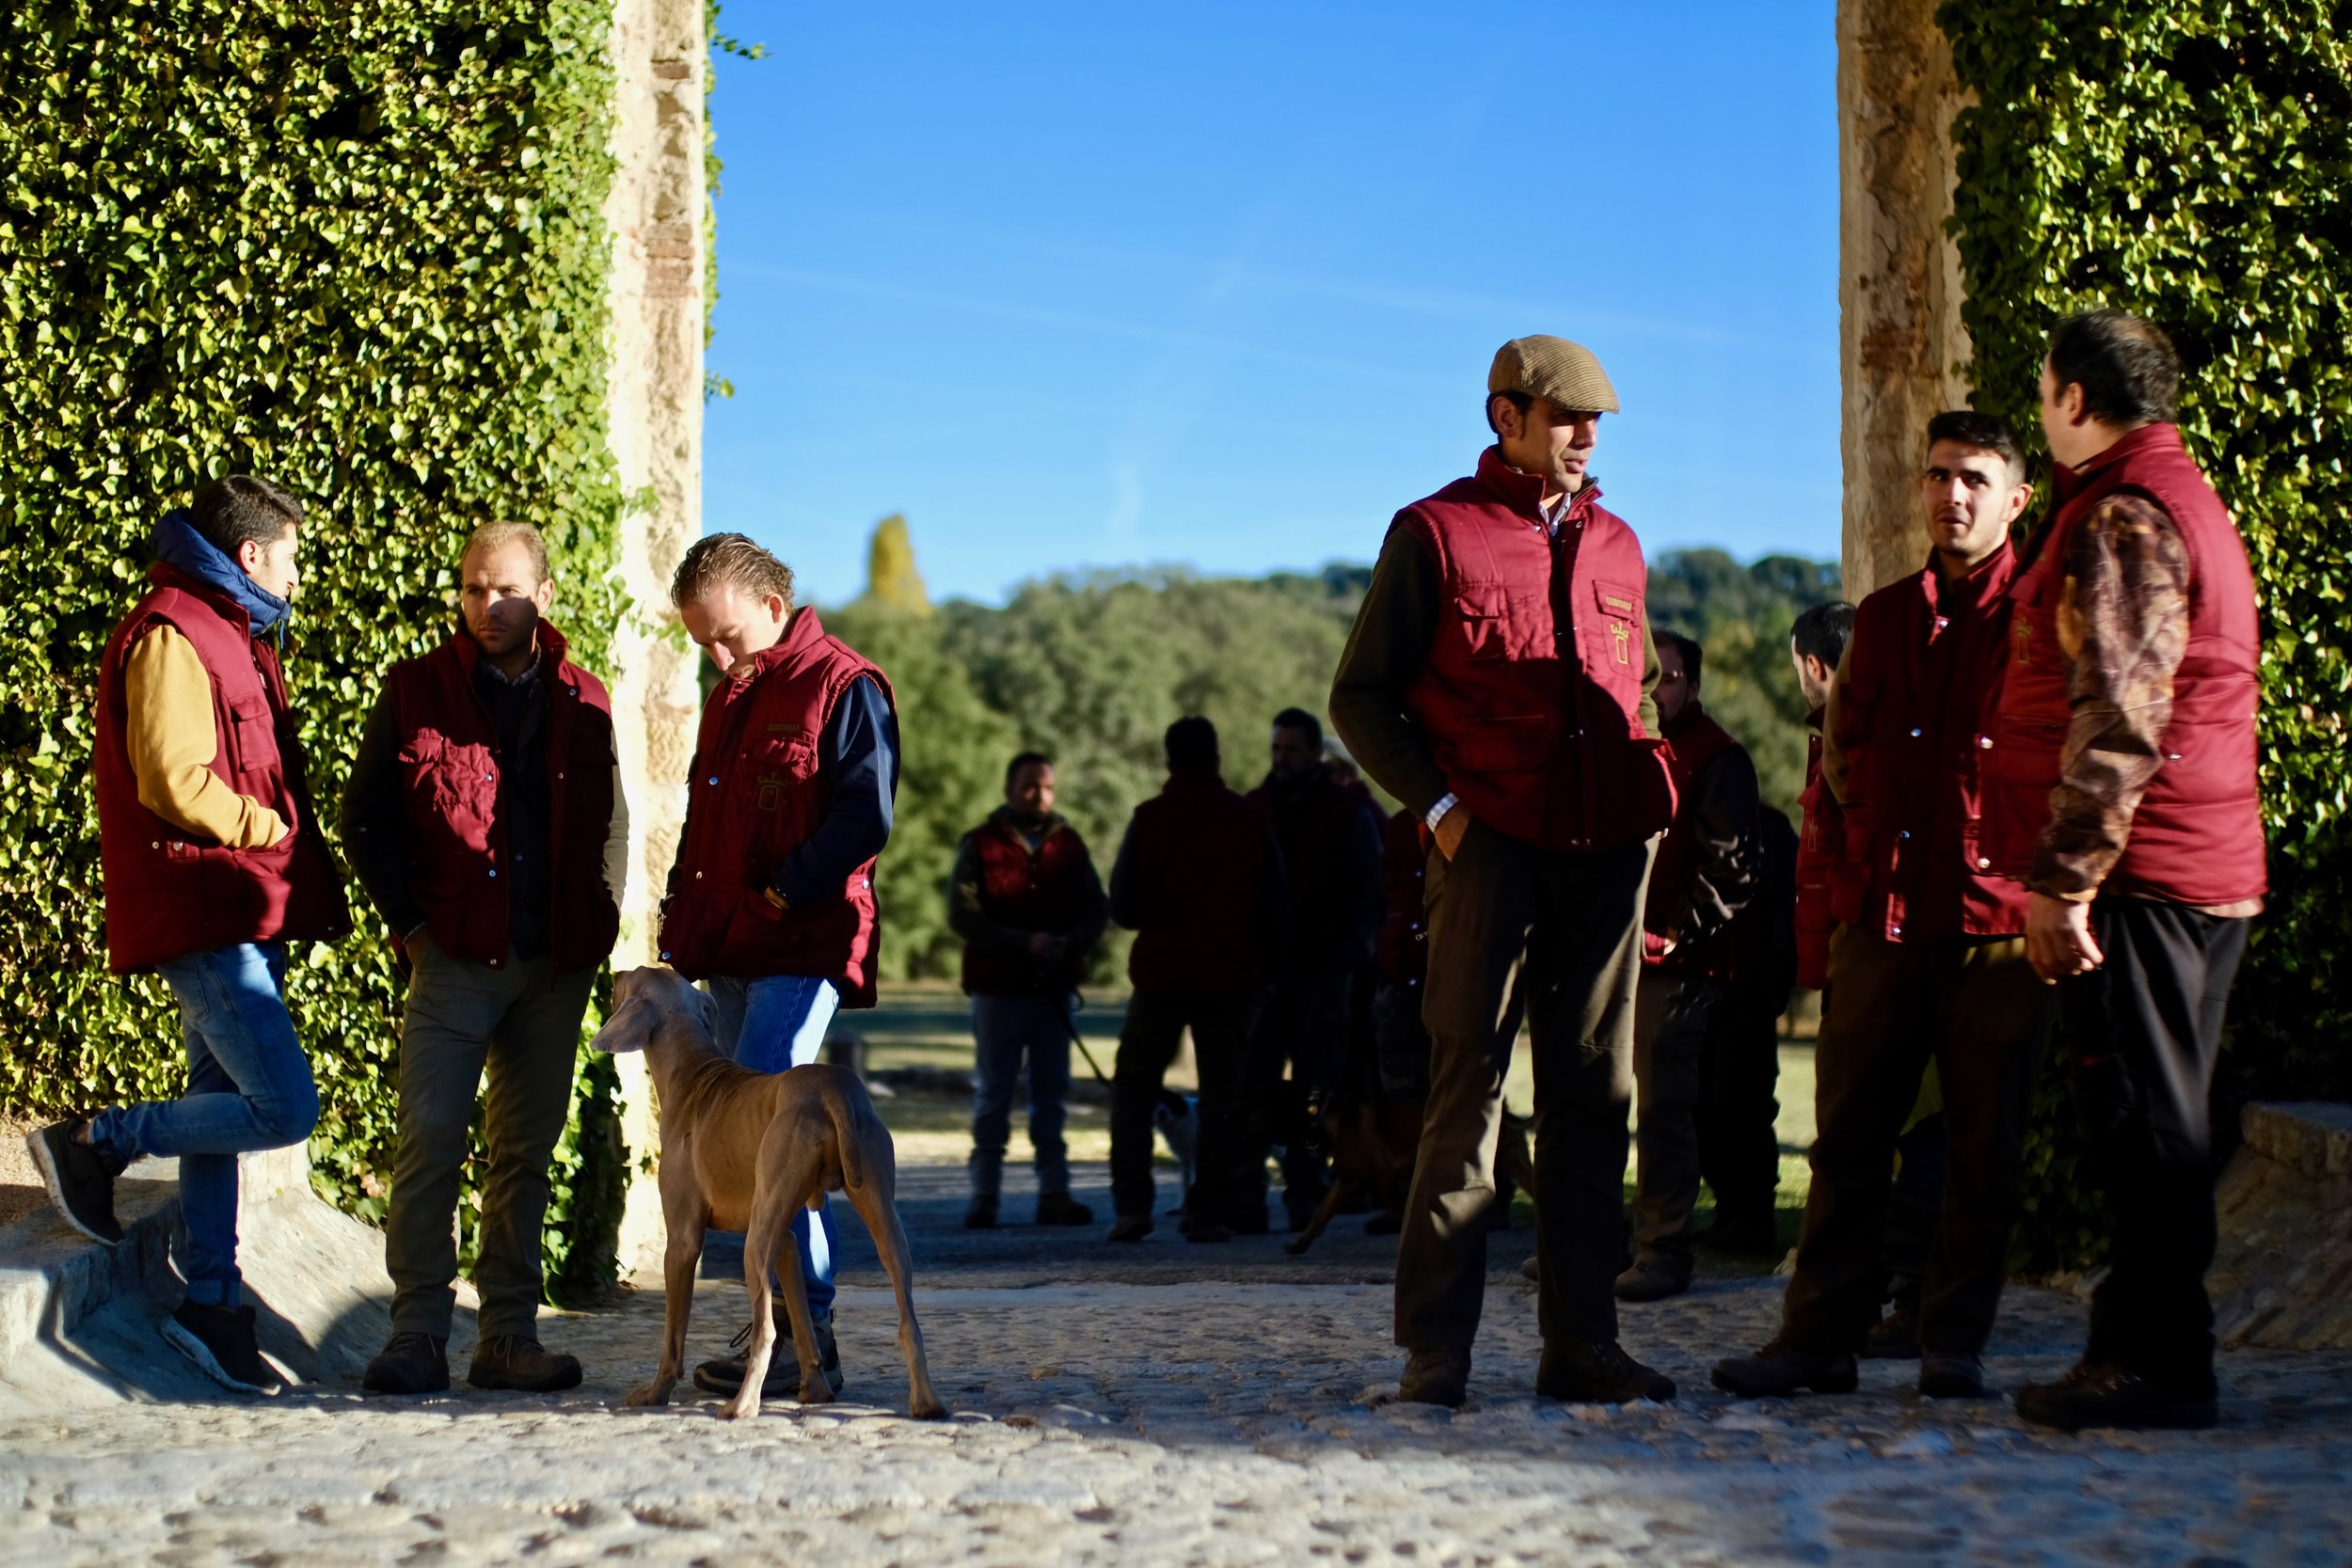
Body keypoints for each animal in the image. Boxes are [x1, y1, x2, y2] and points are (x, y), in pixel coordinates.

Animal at [588, 968, 946, 1419]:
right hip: (881, 1212)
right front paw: (816, 1389)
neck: (692, 1074)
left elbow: (673, 1335)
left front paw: (655, 1392)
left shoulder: (683, 1241)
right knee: (908, 1319)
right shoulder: (788, 1239)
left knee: (766, 1332)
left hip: (756, 1240)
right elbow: (803, 1321)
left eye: (631, 979)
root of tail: (832, 1087)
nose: (614, 972)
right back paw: (927, 1402)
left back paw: (741, 1405)